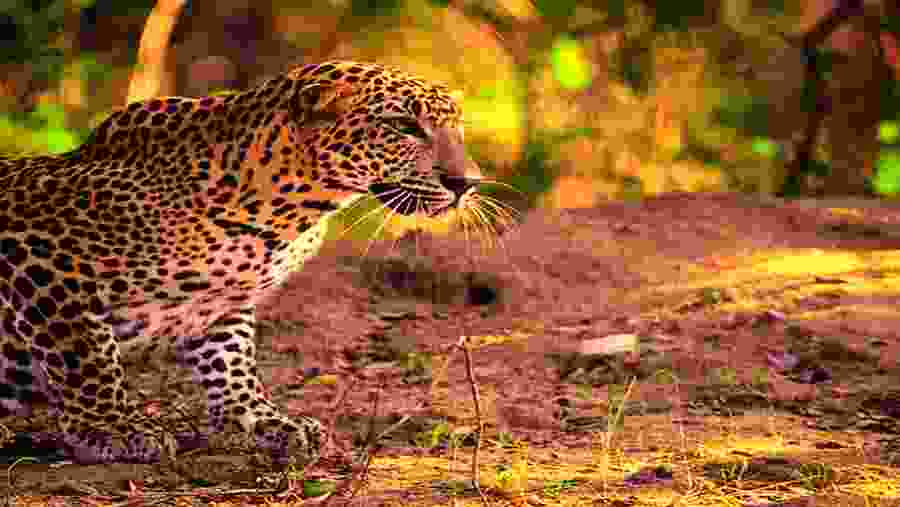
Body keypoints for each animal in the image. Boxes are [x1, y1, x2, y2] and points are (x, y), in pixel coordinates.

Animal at [0, 60, 505, 465]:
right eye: (403, 125)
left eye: (457, 129)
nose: (467, 183)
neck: (289, 211)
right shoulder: (37, 254)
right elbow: (86, 356)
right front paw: (111, 428)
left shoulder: (223, 299)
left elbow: (232, 361)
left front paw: (260, 420)